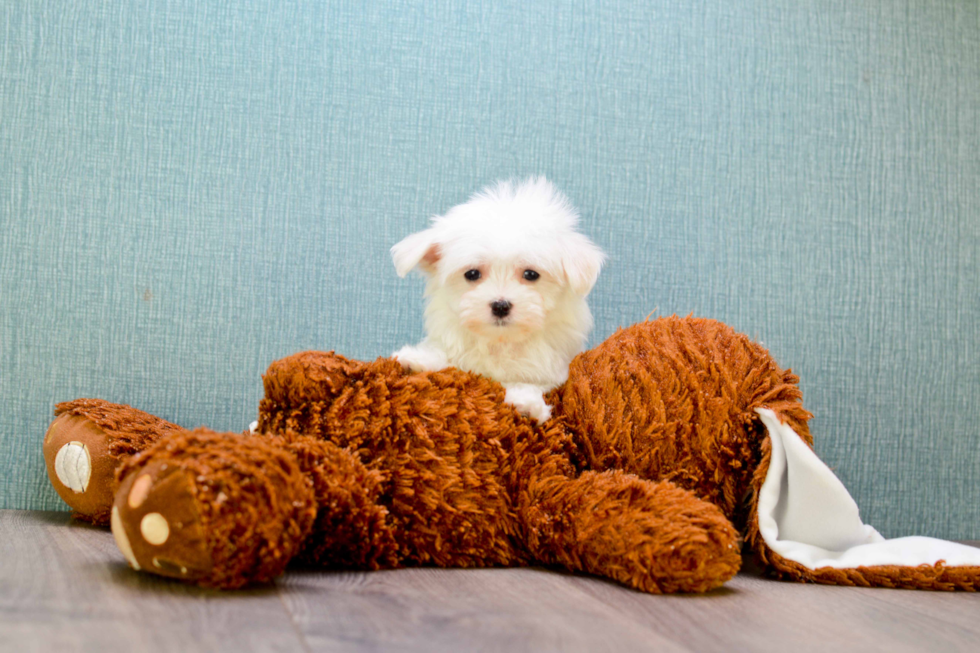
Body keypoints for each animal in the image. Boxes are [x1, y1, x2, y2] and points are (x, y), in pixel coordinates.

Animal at [390, 177, 604, 422]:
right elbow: (445, 356)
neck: (500, 342)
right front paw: (417, 359)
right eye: (472, 274)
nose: (500, 305)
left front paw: (526, 403)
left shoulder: (553, 372)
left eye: (531, 274)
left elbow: (531, 383)